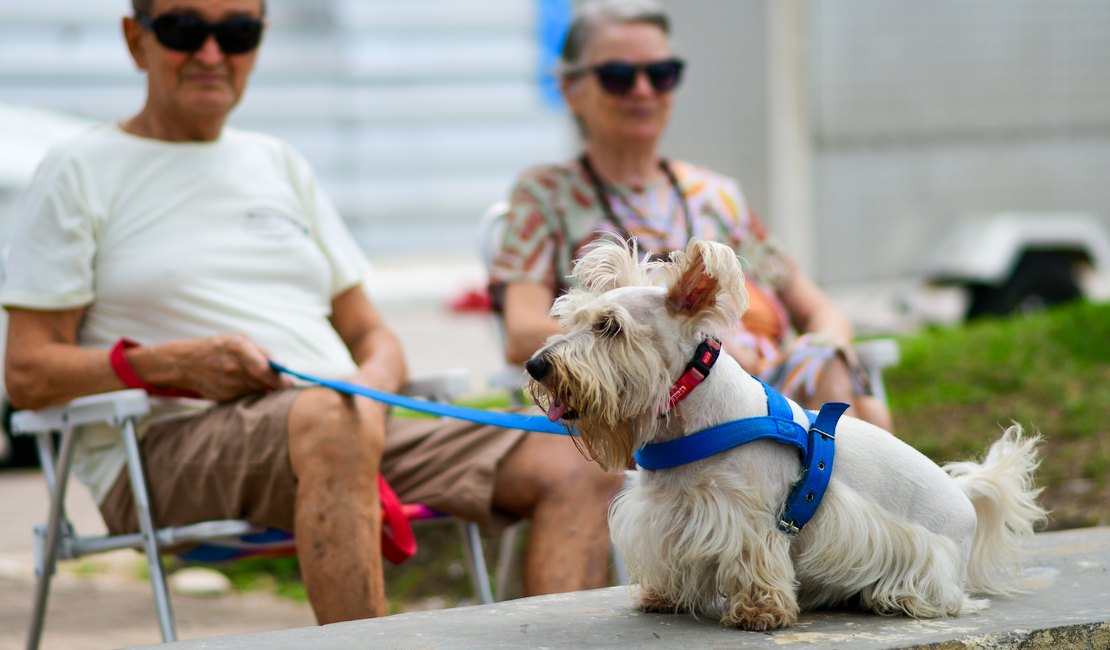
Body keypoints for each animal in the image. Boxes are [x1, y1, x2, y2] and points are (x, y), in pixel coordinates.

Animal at [523, 236, 1043, 625]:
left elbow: (754, 560)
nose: (537, 365)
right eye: (571, 318)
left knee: (941, 595)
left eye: (611, 327)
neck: (690, 413)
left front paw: (760, 612)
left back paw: (891, 597)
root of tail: (968, 499)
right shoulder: (665, 513)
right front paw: (662, 595)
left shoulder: (751, 515)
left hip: (930, 560)